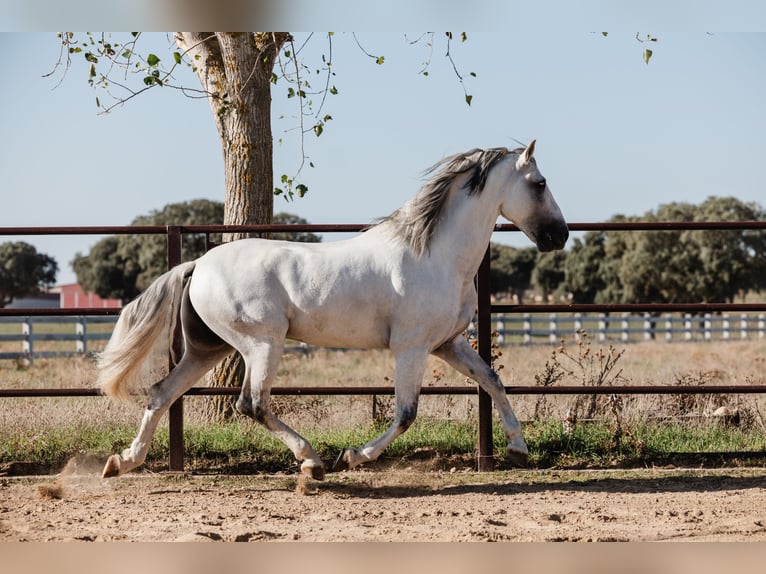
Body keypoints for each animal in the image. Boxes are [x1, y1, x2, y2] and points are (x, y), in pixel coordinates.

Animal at [96, 142, 568, 484]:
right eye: (540, 183)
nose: (559, 235)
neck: (435, 256)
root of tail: (198, 265)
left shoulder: (447, 343)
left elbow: (492, 380)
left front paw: (518, 449)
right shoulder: (411, 348)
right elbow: (406, 414)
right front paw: (352, 456)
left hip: (207, 349)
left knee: (161, 393)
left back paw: (122, 462)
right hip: (261, 344)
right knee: (251, 404)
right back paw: (313, 461)